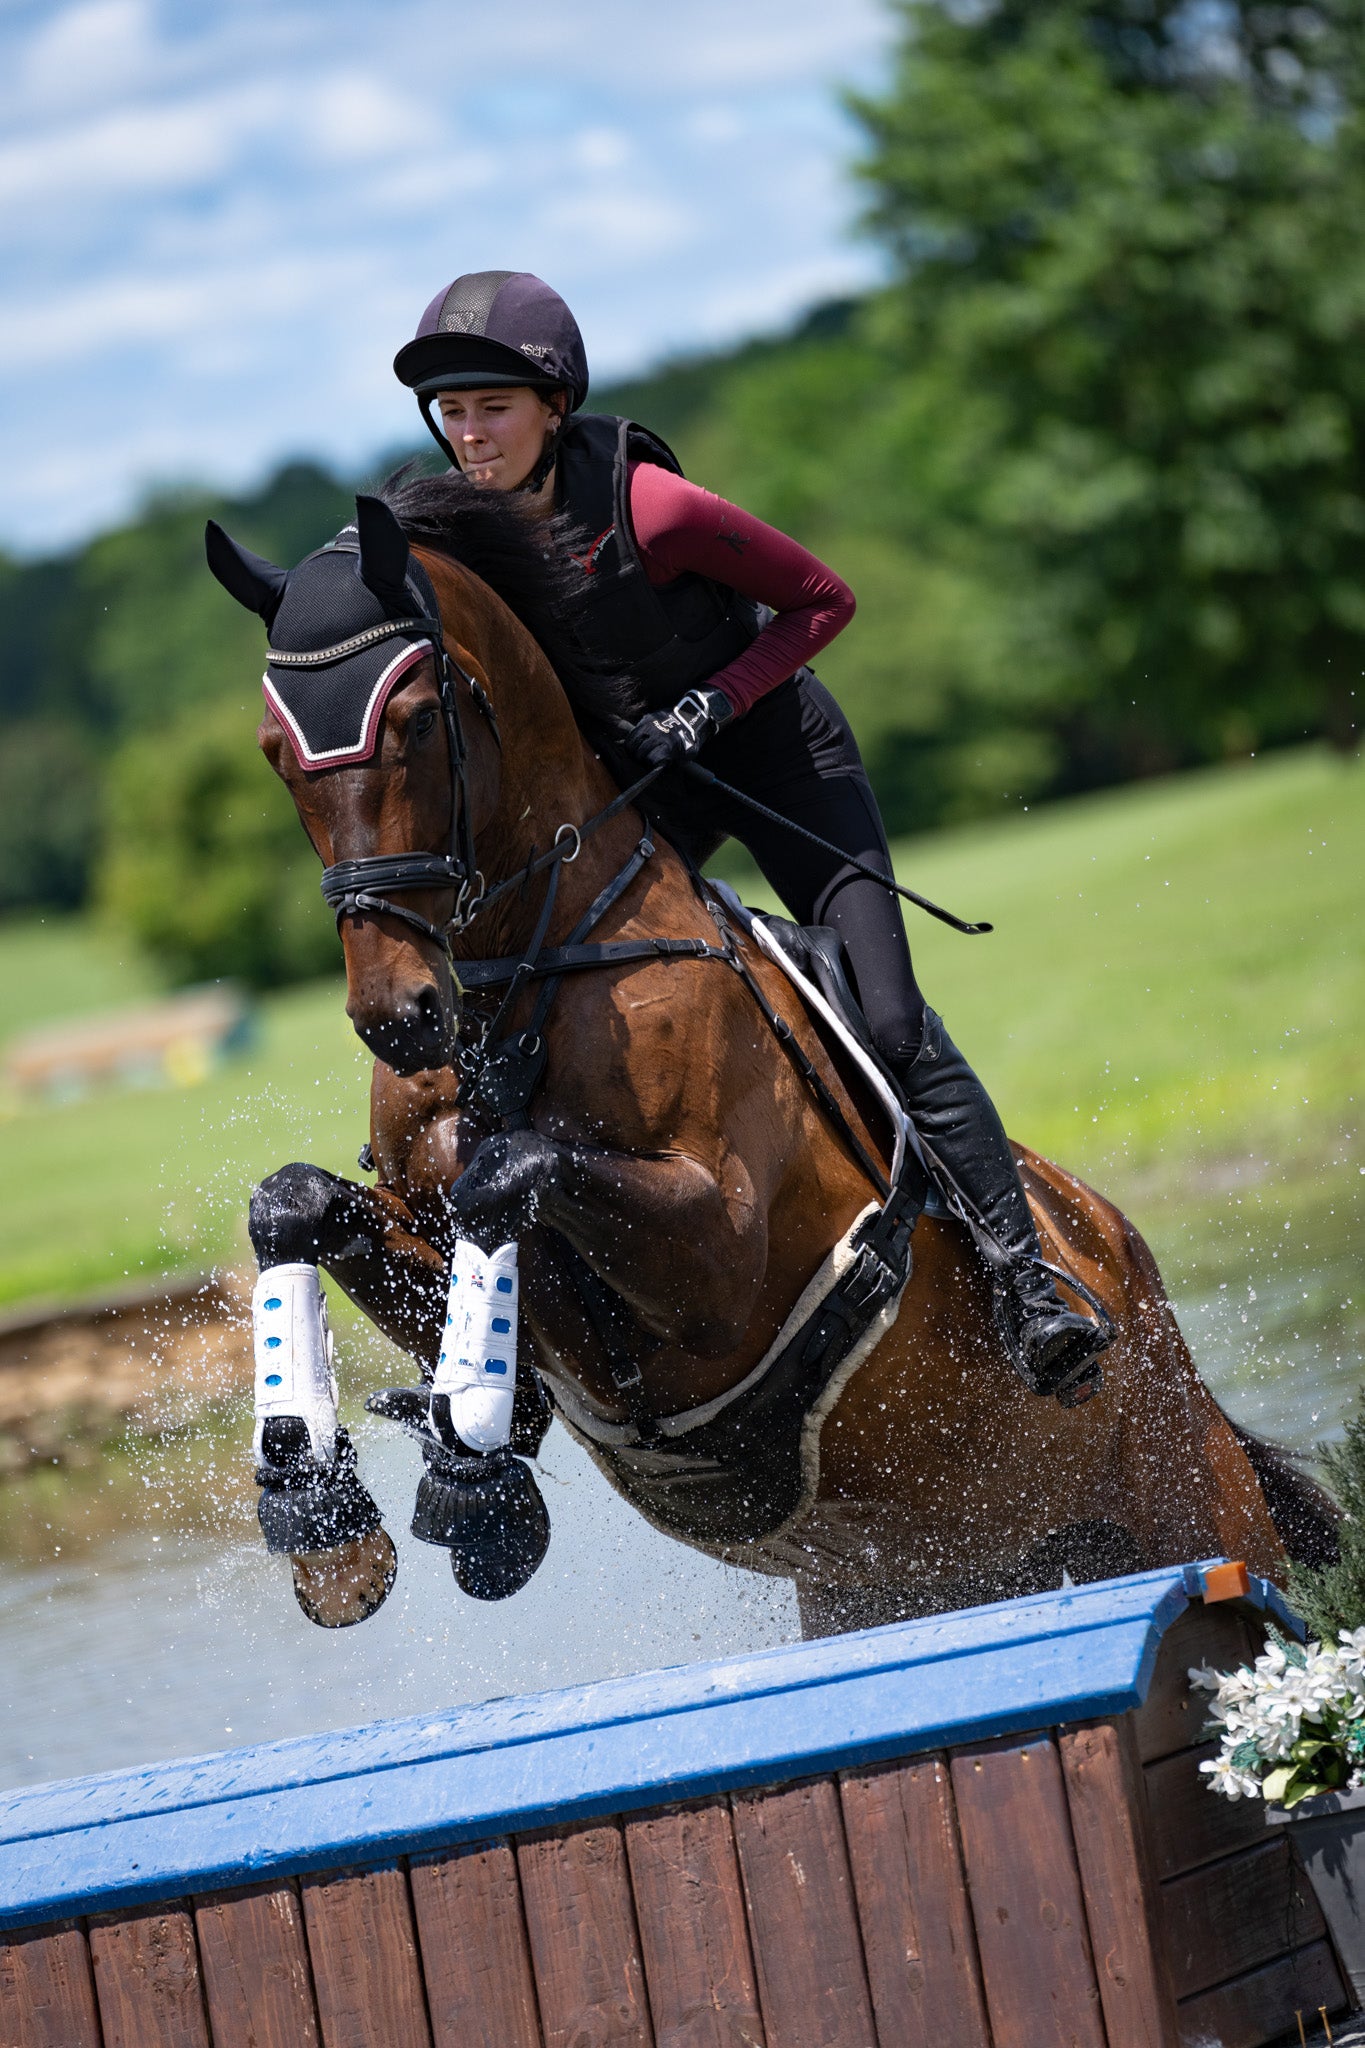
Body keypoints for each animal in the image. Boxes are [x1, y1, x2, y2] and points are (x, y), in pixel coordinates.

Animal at [205, 479, 1334, 1630]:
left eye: (420, 718)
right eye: (274, 751)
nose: (396, 1013)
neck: (521, 979)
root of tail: (1131, 1271)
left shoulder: (725, 1258)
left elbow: (510, 1173)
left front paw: (473, 1486)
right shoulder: (435, 1235)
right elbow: (293, 1203)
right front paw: (325, 1517)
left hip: (1196, 1508)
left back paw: (1051, 1318)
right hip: (916, 1580)